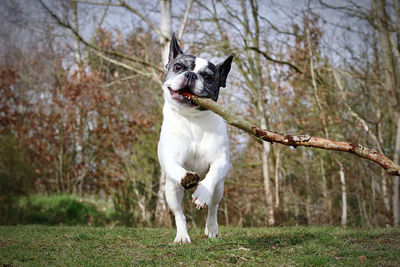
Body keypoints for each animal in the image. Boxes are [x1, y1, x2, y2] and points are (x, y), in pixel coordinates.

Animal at [158, 34, 233, 244]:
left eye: (208, 77)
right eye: (178, 67)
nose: (191, 75)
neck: (192, 120)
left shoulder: (220, 161)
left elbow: (212, 175)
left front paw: (202, 192)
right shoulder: (170, 159)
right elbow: (176, 167)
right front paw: (188, 177)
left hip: (220, 188)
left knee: (213, 207)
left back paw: (212, 228)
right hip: (171, 191)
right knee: (179, 214)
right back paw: (182, 235)